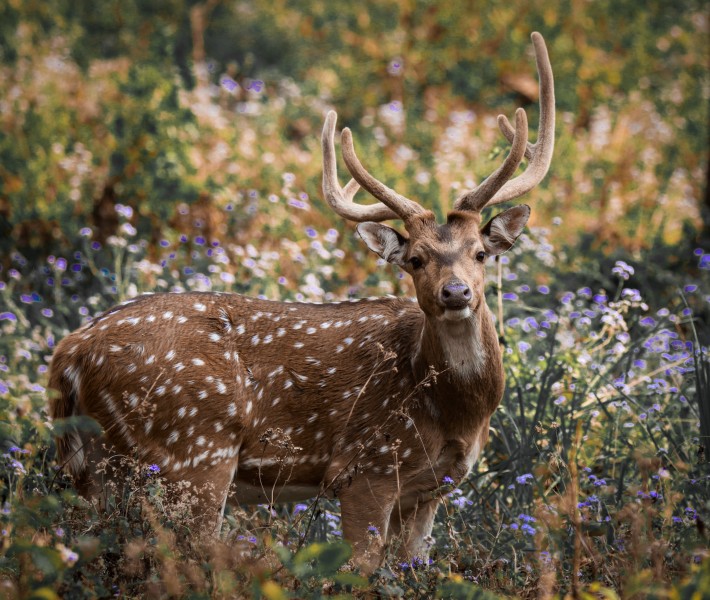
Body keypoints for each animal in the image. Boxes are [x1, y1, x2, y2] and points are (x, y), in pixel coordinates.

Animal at [50, 34, 556, 572]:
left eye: (481, 253)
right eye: (415, 260)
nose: (456, 292)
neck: (452, 412)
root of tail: (69, 353)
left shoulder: (430, 490)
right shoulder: (366, 469)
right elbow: (359, 571)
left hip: (98, 468)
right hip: (193, 450)